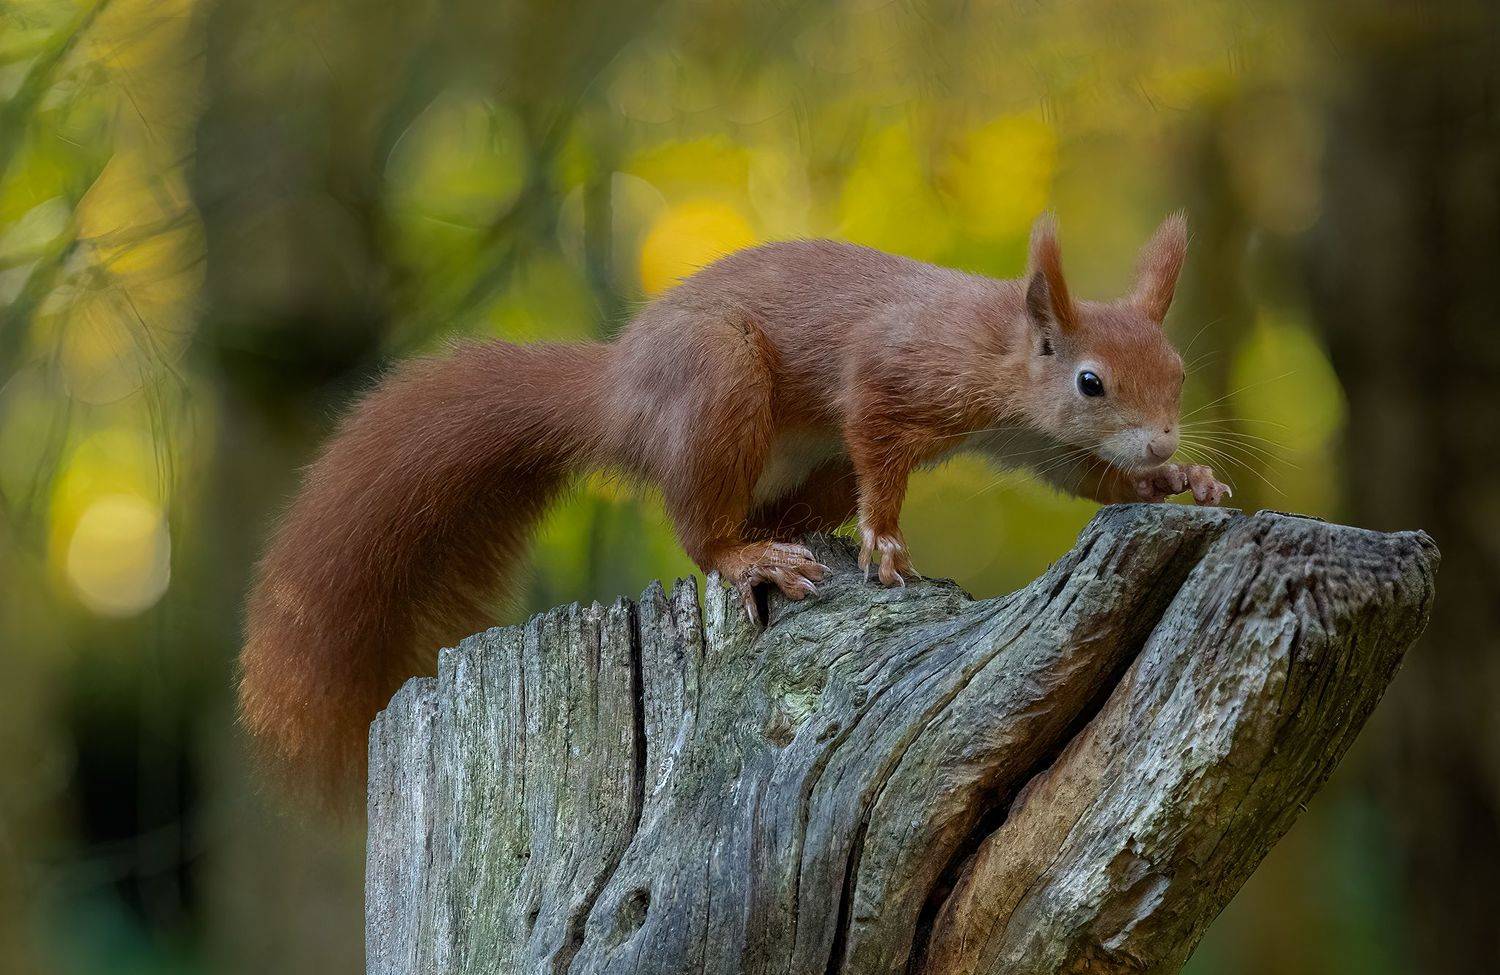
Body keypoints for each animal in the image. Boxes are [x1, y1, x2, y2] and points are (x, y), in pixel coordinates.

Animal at [239, 212, 1229, 799]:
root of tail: (616, 396)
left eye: (1178, 373)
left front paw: (1185, 483)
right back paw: (751, 555)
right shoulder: (893, 377)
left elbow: (1087, 479)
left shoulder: (1041, 444)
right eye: (1092, 381)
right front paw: (885, 541)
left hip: (804, 460)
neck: (1000, 349)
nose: (1162, 442)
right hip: (718, 386)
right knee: (701, 531)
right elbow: (880, 446)